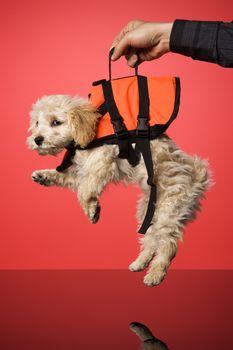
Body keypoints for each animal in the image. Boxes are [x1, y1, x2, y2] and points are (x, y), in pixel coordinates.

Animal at [26, 94, 211, 286]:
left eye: (56, 122)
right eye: (37, 122)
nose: (37, 139)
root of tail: (197, 177)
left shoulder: (103, 158)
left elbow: (84, 189)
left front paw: (92, 209)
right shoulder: (84, 169)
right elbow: (70, 179)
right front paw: (44, 176)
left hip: (169, 210)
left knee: (167, 244)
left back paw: (155, 274)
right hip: (148, 210)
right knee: (151, 239)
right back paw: (140, 263)